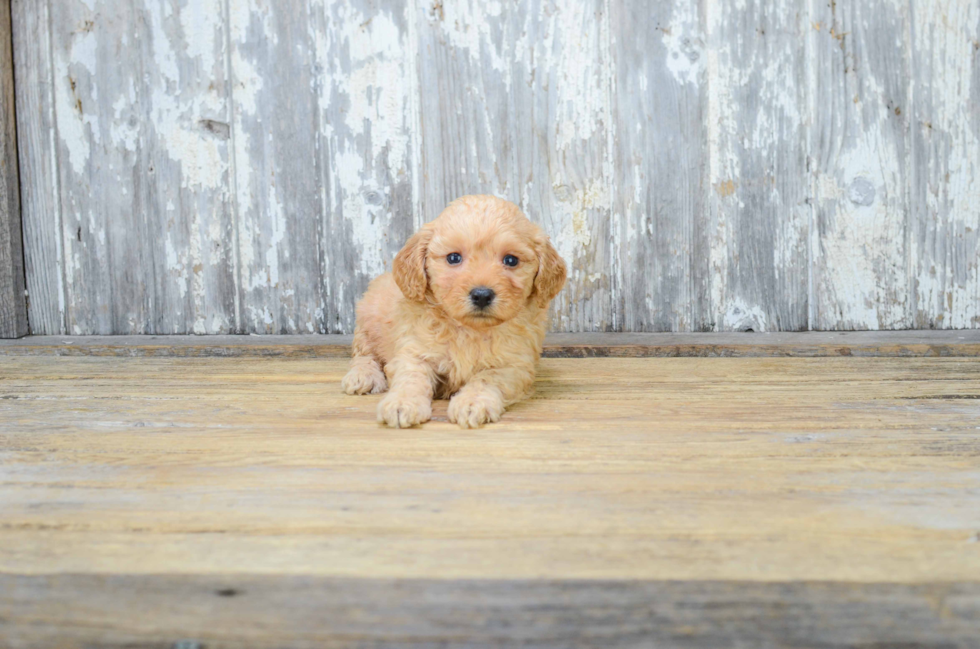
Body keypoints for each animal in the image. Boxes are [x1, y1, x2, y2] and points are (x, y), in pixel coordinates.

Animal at [340, 197, 568, 430]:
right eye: (453, 258)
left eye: (511, 260)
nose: (482, 295)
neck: (469, 329)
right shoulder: (414, 350)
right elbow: (411, 377)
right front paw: (401, 403)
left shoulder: (515, 365)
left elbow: (487, 378)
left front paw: (472, 402)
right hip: (367, 320)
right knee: (363, 354)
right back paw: (363, 376)